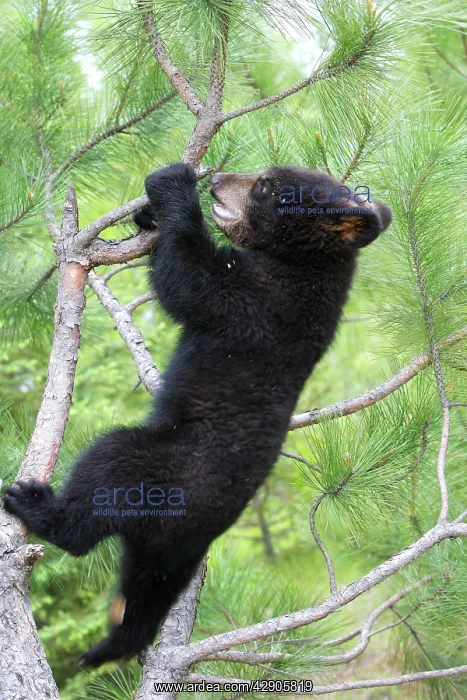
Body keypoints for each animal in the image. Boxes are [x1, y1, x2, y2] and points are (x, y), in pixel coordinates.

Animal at [3, 163, 391, 667]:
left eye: (264, 185)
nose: (220, 178)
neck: (305, 266)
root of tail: (194, 538)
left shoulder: (260, 302)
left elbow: (191, 282)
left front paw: (173, 183)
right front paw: (149, 215)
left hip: (158, 469)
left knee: (105, 476)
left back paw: (37, 505)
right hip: (156, 550)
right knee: (142, 590)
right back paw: (112, 645)